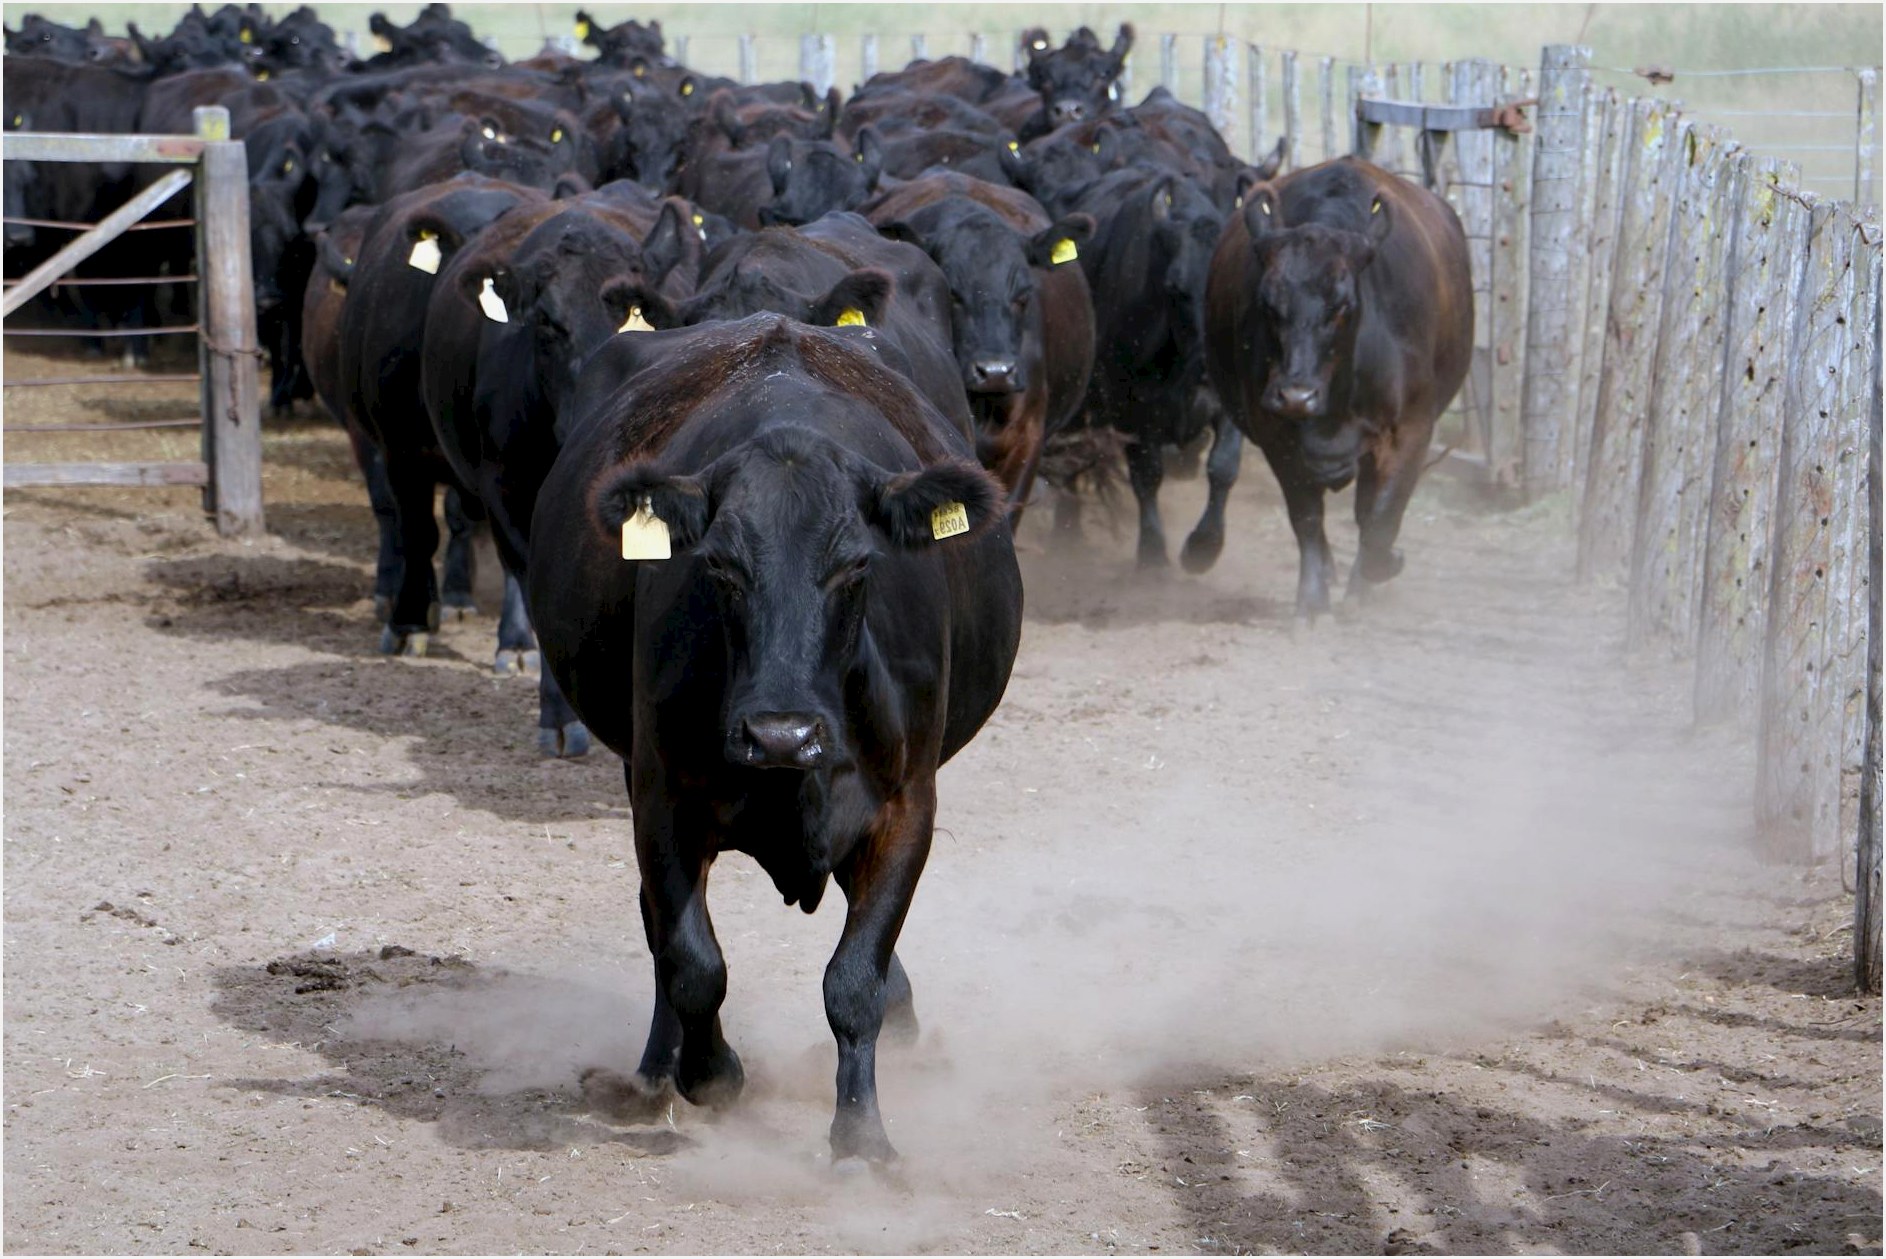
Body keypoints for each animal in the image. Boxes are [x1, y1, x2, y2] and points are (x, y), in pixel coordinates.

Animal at [527, 314, 1023, 1163]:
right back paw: (655, 1071)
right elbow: (692, 961)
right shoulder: (661, 796)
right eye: (721, 567)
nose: (780, 733)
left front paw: (861, 1136)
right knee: (660, 932)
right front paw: (711, 1072)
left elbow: (853, 978)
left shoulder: (907, 805)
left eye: (856, 566)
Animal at [1204, 156, 1471, 621]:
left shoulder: (1410, 431)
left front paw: (1380, 571)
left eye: (1342, 306)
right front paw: (1312, 603)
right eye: (1268, 303)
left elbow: (1380, 520)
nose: (1296, 396)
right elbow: (1307, 517)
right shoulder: (1277, 436)